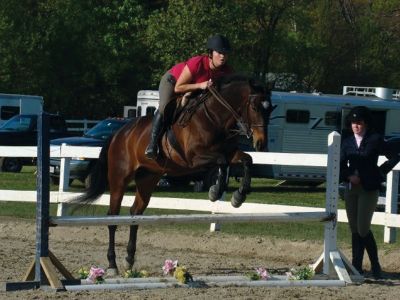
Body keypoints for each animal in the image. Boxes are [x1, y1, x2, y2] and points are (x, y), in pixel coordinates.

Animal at [72, 74, 272, 276]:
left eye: (270, 109)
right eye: (255, 107)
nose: (261, 143)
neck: (215, 118)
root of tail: (118, 133)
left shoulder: (230, 152)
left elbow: (247, 160)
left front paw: (238, 196)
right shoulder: (194, 157)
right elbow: (221, 162)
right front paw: (216, 191)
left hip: (148, 178)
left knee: (135, 213)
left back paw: (129, 260)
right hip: (119, 179)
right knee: (112, 217)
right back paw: (112, 265)